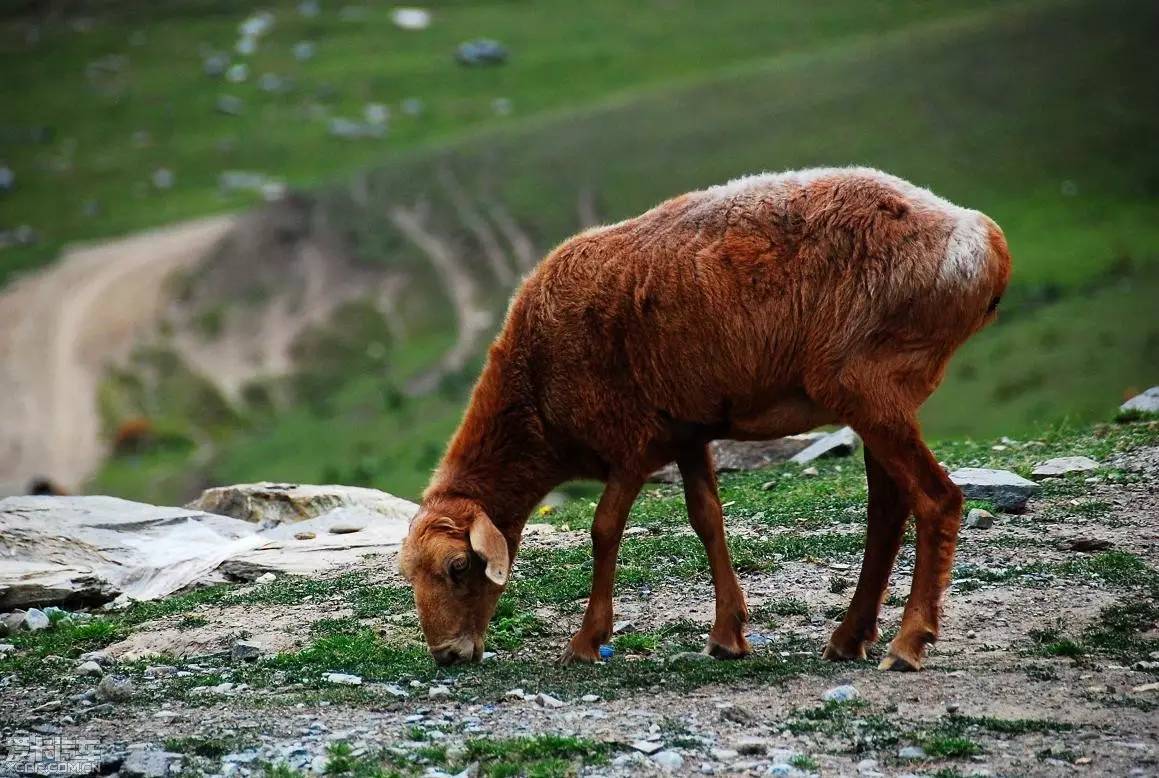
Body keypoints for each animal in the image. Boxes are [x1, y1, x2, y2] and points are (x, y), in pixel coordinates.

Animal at [401, 166, 1015, 672]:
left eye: (458, 568)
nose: (446, 655)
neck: (537, 399)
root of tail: (985, 239)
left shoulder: (634, 439)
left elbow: (604, 529)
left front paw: (586, 642)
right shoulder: (686, 430)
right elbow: (706, 519)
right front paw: (727, 635)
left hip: (869, 385)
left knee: (936, 500)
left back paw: (908, 643)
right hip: (879, 398)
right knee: (887, 509)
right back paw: (849, 637)